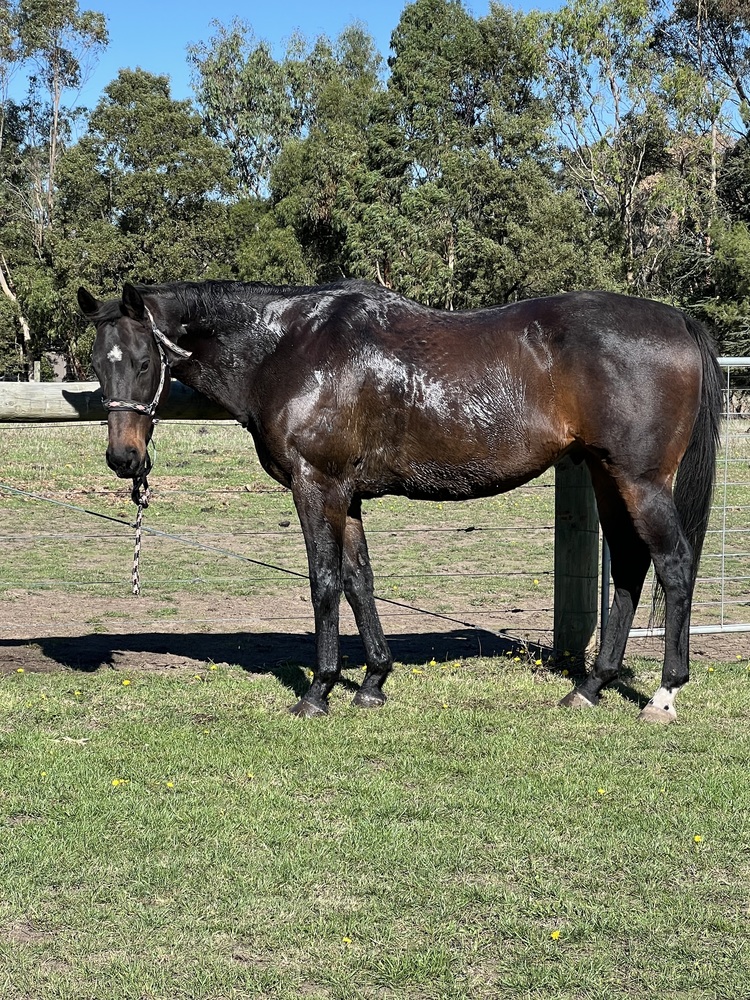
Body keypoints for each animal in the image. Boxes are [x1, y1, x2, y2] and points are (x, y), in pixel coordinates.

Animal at [78, 279, 723, 721]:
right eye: (98, 365)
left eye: (144, 362)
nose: (124, 459)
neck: (291, 346)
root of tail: (676, 318)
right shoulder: (348, 496)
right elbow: (359, 580)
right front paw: (372, 682)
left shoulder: (317, 486)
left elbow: (324, 582)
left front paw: (319, 690)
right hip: (606, 475)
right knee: (631, 568)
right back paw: (590, 687)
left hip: (640, 481)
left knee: (673, 566)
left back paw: (664, 692)